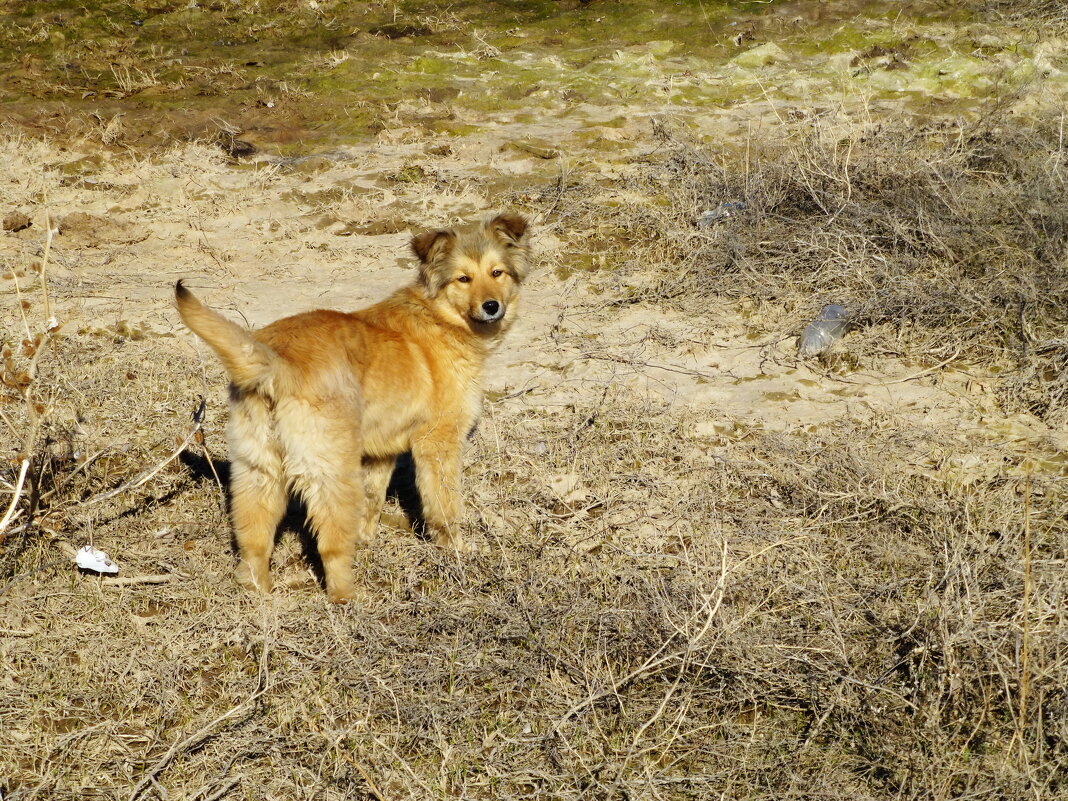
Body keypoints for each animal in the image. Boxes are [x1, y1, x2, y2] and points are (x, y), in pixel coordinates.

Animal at [177, 213, 531, 602]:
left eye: (497, 273)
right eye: (463, 279)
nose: (491, 306)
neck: (439, 316)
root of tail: (278, 363)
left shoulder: (381, 453)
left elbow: (373, 500)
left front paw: (368, 539)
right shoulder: (438, 443)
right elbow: (445, 507)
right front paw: (457, 551)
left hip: (258, 470)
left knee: (254, 539)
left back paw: (260, 592)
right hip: (331, 472)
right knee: (330, 545)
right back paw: (348, 597)